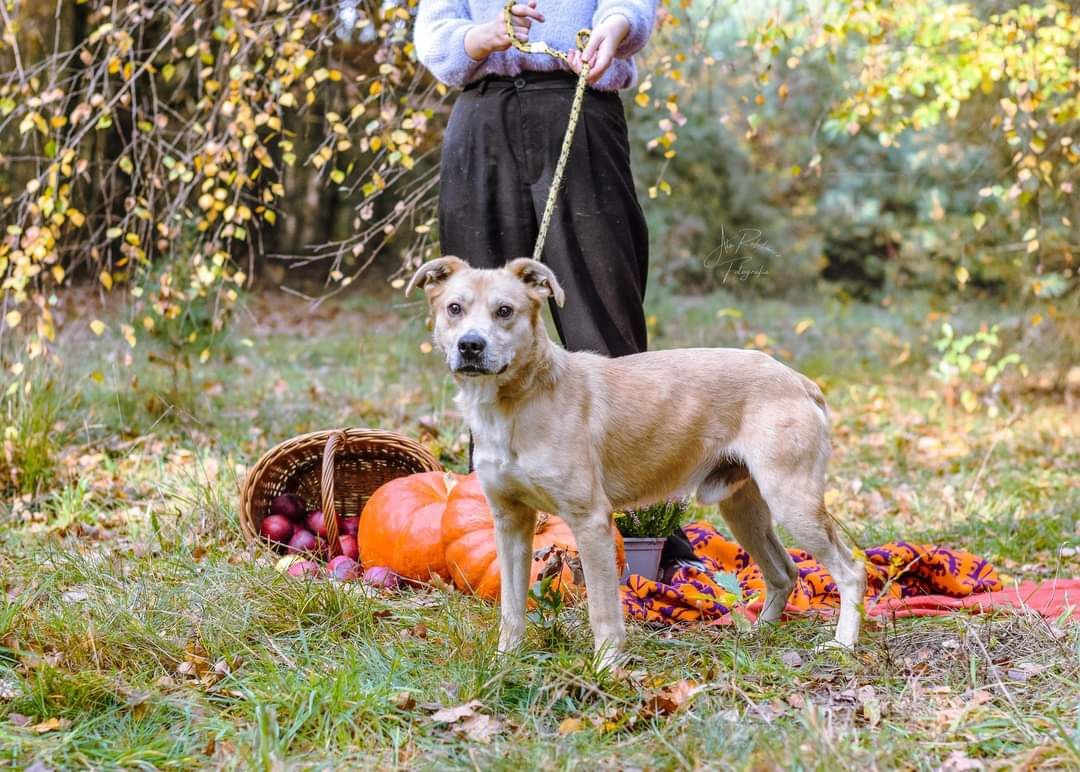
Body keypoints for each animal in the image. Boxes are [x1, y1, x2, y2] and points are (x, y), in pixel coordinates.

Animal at [406, 258, 868, 665]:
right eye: (454, 308)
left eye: (505, 311)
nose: (470, 345)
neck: (516, 404)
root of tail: (797, 379)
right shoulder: (510, 522)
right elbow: (511, 606)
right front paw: (507, 661)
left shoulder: (590, 521)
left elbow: (603, 611)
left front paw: (607, 667)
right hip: (744, 510)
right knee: (785, 572)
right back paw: (760, 632)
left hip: (793, 503)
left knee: (851, 571)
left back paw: (842, 645)